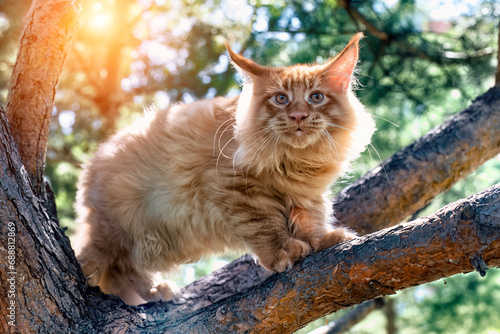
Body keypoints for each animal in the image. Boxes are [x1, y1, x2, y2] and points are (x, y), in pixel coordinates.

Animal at [72, 32, 374, 306]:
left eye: (316, 97)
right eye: (280, 99)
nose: (298, 115)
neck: (296, 161)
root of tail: (92, 161)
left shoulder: (308, 196)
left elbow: (312, 221)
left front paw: (324, 240)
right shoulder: (237, 188)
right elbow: (265, 226)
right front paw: (283, 252)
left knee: (124, 268)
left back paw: (157, 290)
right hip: (116, 224)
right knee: (99, 253)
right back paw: (91, 272)